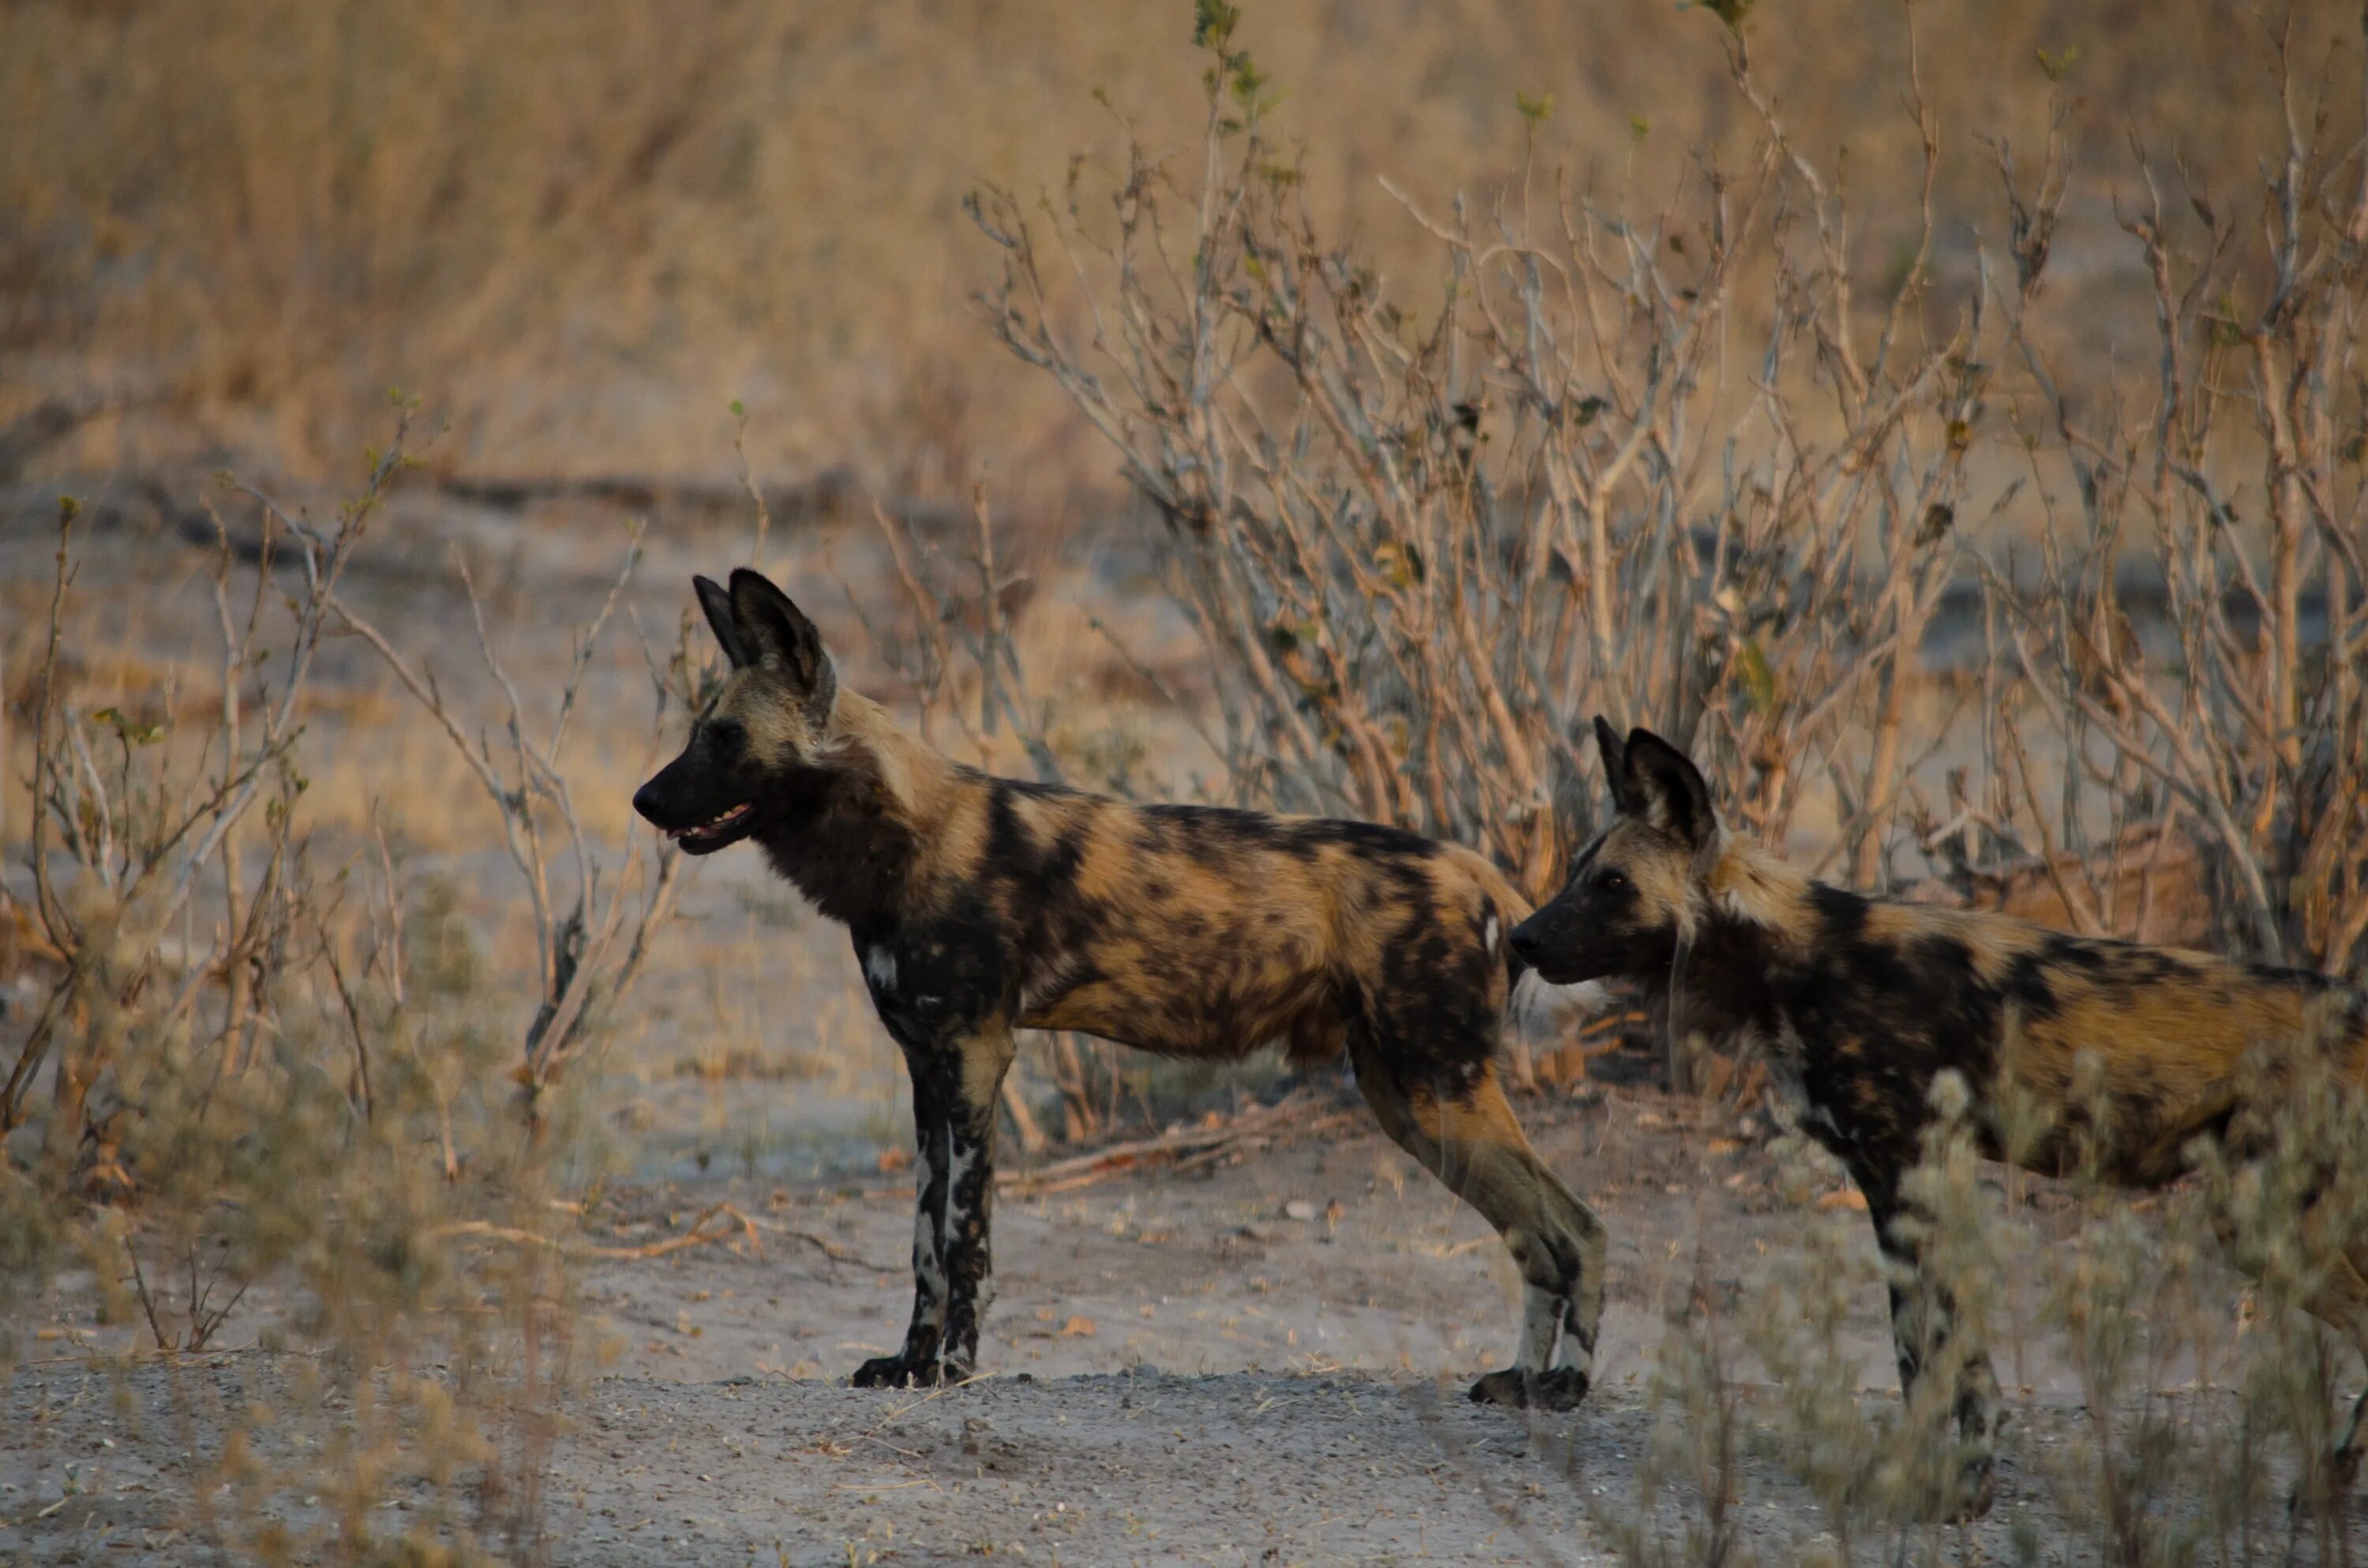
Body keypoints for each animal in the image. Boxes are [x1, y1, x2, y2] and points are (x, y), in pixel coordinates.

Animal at [630, 571, 1610, 1401]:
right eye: (696, 731)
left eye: (724, 737)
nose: (644, 800)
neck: (901, 834)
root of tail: (1485, 875)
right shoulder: (925, 1069)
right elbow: (921, 1241)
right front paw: (907, 1362)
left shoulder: (977, 1055)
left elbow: (964, 1234)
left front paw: (952, 1367)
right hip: (1409, 1100)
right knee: (1544, 1236)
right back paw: (1523, 1383)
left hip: (1434, 1087)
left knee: (1574, 1227)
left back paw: (1564, 1386)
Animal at [1506, 724, 2368, 1525]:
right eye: (1579, 873)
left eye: (1613, 883)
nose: (1520, 936)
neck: (1794, 957)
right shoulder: (1898, 1187)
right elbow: (1927, 1356)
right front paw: (1949, 1482)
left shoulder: (1915, 1172)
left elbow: (1943, 1353)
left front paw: (1944, 1486)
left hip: (2258, 1218)